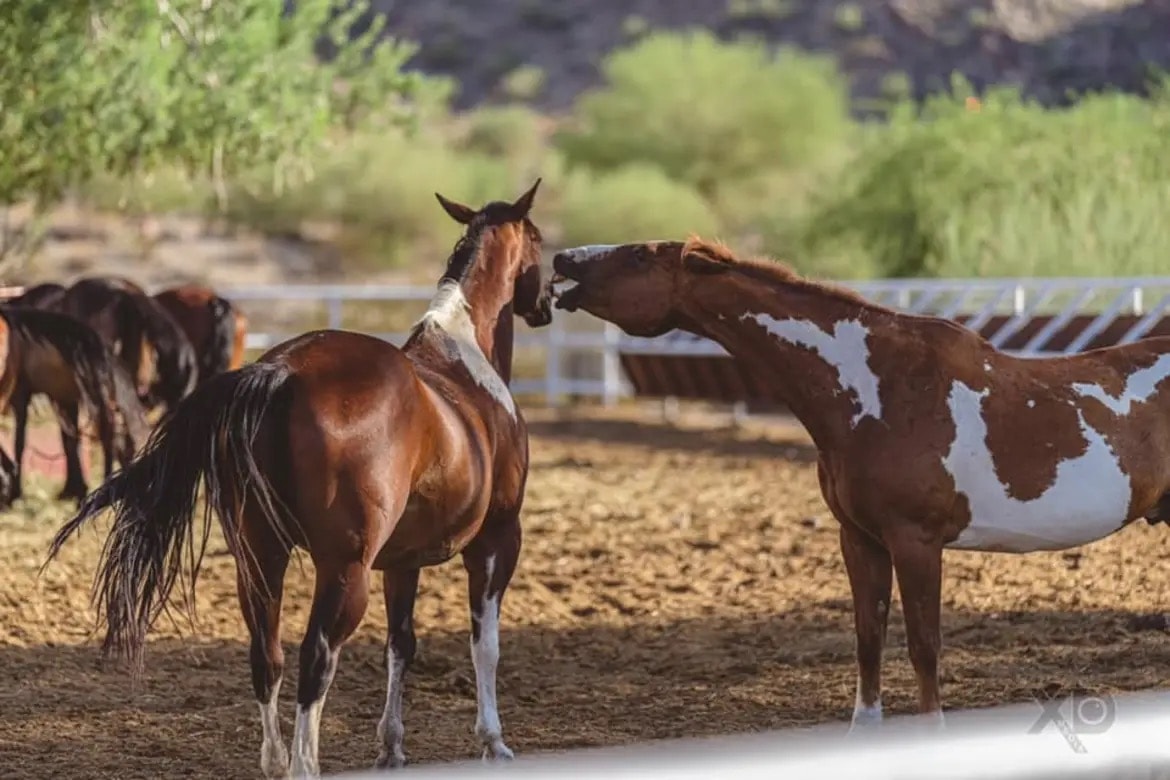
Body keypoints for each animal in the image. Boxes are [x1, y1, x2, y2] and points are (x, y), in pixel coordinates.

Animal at [0, 304, 150, 503]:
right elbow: (69, 442)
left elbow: (20, 443)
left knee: (110, 438)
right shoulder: (64, 398)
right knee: (112, 436)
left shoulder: (22, 395)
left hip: (95, 401)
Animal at [550, 237, 1170, 729]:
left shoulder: (916, 541)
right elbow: (868, 639)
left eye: (638, 254)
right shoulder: (861, 538)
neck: (875, 388)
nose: (560, 261)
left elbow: (923, 647)